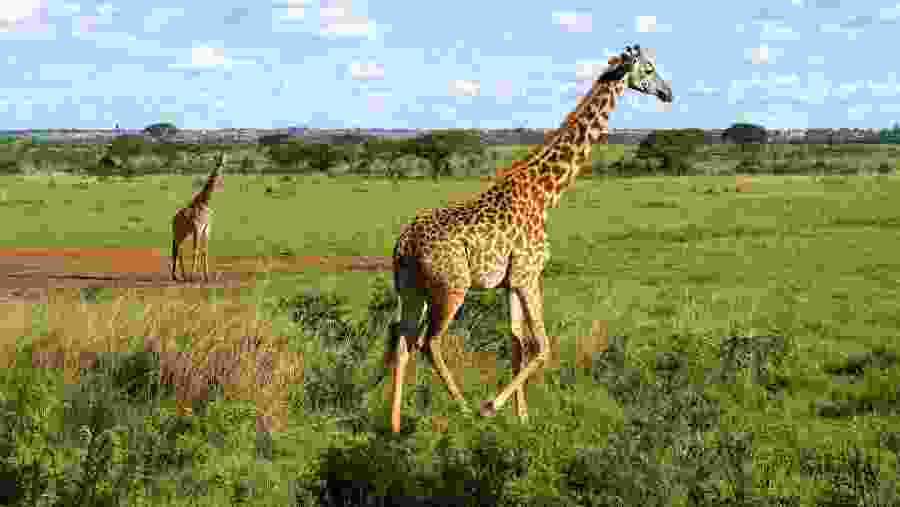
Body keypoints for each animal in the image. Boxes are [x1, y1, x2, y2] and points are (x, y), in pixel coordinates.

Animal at [171, 152, 225, 282]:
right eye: (218, 160)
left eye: (222, 160)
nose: (221, 164)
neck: (204, 201)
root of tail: (173, 220)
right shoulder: (201, 228)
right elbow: (199, 251)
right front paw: (197, 276)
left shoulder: (203, 229)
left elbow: (203, 251)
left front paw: (205, 276)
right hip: (182, 232)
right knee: (179, 249)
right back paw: (184, 276)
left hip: (181, 233)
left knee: (177, 249)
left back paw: (178, 276)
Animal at [387, 45, 672, 433]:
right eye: (649, 68)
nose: (667, 93)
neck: (546, 193)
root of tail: (404, 245)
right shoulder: (528, 274)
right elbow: (543, 346)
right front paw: (492, 407)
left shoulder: (511, 281)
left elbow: (517, 343)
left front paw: (521, 417)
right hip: (452, 287)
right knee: (429, 342)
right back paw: (465, 409)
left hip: (411, 288)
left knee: (403, 341)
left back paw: (393, 425)